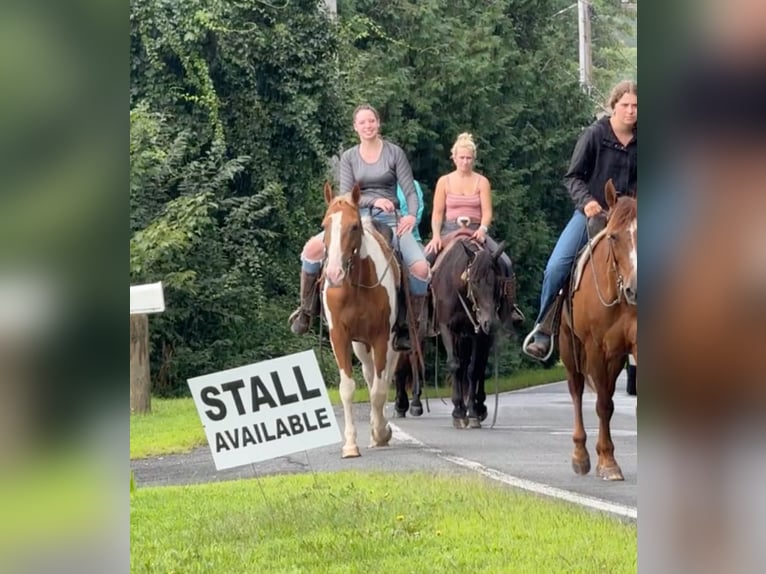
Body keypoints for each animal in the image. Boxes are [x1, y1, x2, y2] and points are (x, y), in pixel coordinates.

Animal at [320, 182, 402, 462]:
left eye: (354, 226)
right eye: (325, 225)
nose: (334, 274)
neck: (356, 286)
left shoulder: (381, 337)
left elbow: (378, 390)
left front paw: (380, 433)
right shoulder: (340, 337)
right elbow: (348, 388)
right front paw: (350, 446)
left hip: (390, 345)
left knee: (384, 380)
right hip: (361, 346)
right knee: (369, 375)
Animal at [432, 233, 510, 428]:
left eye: (498, 283)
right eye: (474, 282)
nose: (491, 323)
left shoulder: (479, 334)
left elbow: (474, 370)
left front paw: (473, 412)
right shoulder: (447, 328)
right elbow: (455, 365)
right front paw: (458, 412)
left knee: (479, 367)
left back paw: (480, 407)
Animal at [560, 180, 640, 482]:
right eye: (614, 237)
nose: (634, 290)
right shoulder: (594, 347)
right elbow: (603, 404)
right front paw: (607, 462)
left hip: (614, 357)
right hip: (570, 349)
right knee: (577, 390)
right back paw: (580, 455)